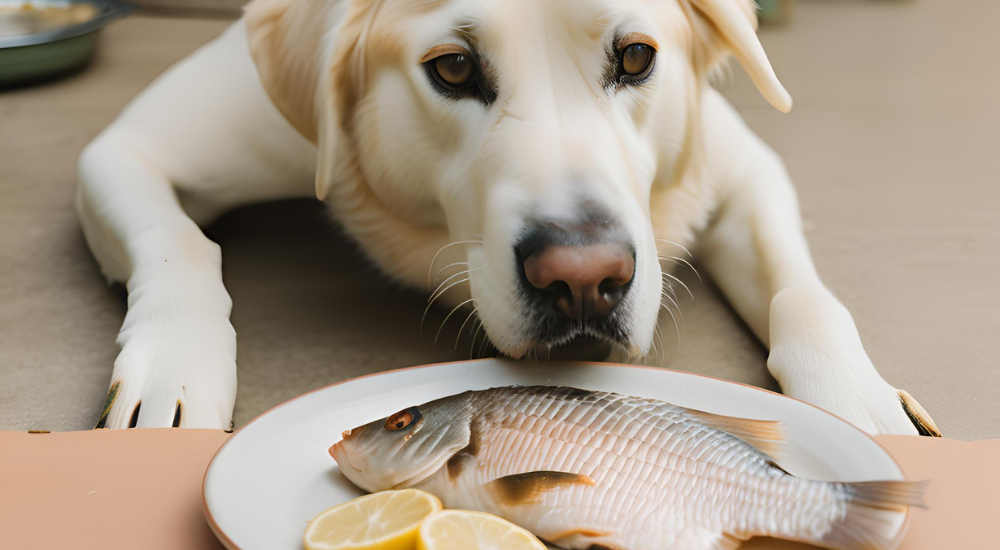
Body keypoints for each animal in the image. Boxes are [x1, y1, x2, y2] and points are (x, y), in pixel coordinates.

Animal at [76, 0, 936, 438]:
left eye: (635, 58)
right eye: (454, 68)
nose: (585, 281)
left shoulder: (739, 164)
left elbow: (805, 294)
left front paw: (858, 402)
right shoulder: (126, 149)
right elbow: (181, 243)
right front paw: (176, 372)